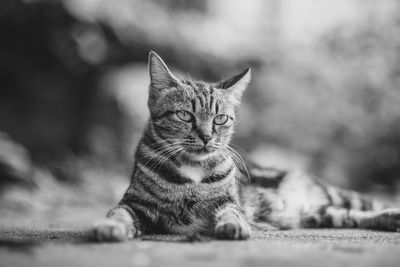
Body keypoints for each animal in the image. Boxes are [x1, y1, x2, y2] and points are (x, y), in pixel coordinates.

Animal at [90, 51, 400, 242]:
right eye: (185, 116)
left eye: (220, 119)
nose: (206, 136)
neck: (191, 171)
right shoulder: (135, 204)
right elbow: (119, 213)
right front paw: (110, 227)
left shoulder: (230, 201)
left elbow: (231, 211)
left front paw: (233, 225)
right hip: (318, 214)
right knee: (351, 216)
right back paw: (389, 219)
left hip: (333, 196)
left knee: (362, 206)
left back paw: (391, 214)